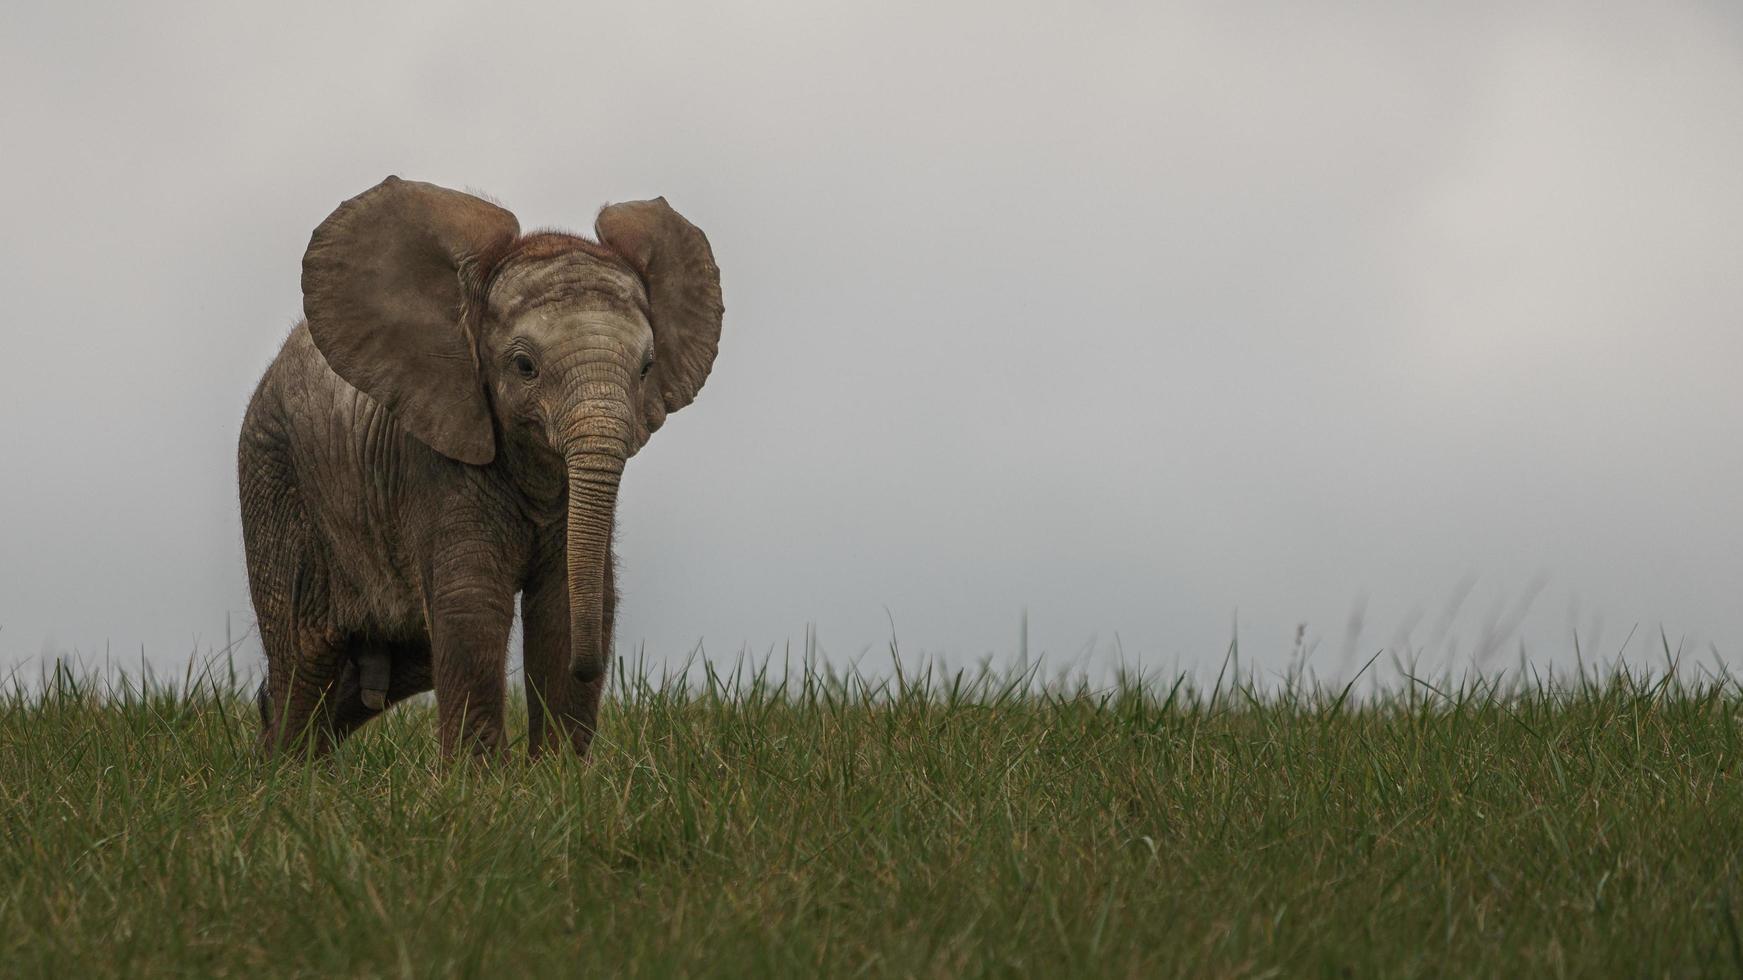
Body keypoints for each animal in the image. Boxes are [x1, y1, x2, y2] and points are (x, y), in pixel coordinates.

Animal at [238, 173, 721, 756]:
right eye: (524, 366)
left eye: (647, 368)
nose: (590, 669)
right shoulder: (432, 456)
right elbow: (471, 603)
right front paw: (482, 780)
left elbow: (562, 604)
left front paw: (559, 774)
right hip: (273, 474)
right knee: (305, 655)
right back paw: (282, 771)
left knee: (399, 658)